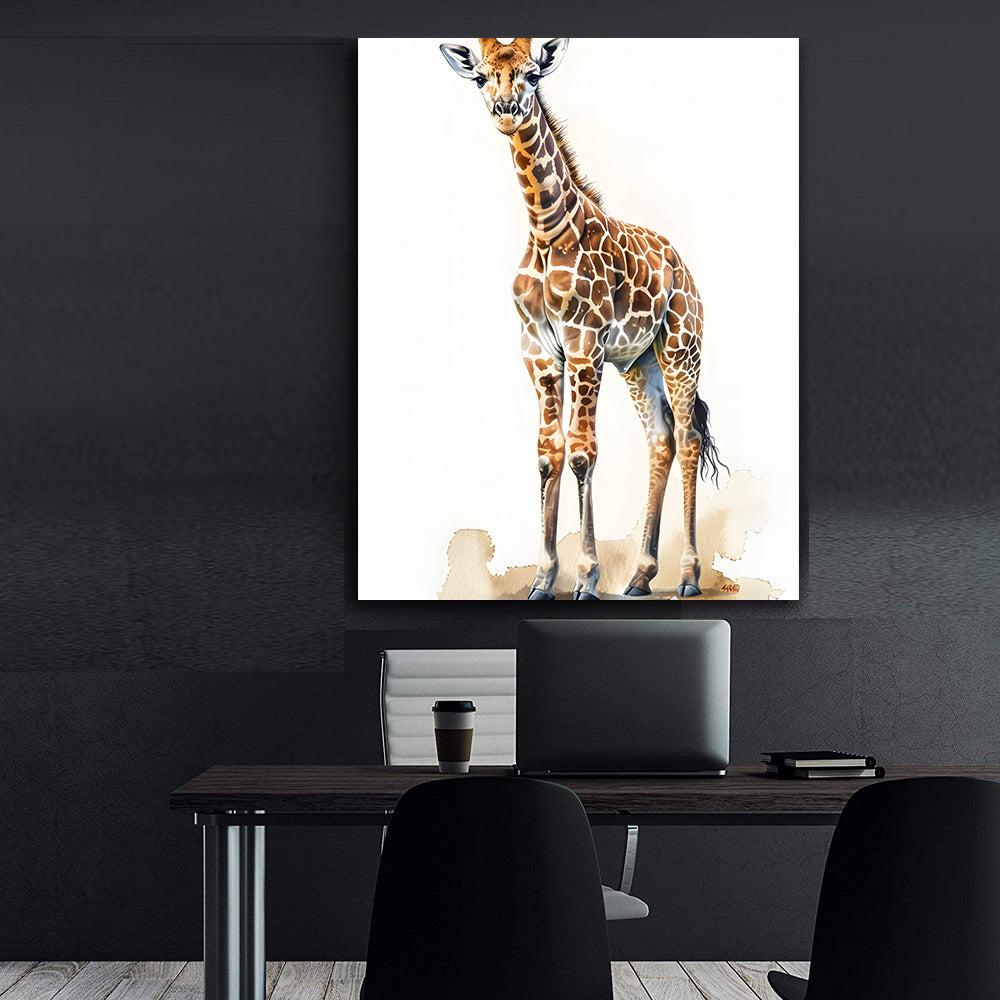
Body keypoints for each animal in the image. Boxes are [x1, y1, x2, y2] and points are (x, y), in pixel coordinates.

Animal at [441, 37, 726, 599]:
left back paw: (686, 577)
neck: (547, 230)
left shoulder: (584, 345)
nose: (506, 111)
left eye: (531, 75)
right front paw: (543, 579)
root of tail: (682, 267)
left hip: (681, 349)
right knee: (660, 441)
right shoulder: (539, 352)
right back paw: (639, 576)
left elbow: (581, 452)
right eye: (482, 77)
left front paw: (587, 577)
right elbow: (547, 452)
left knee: (687, 439)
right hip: (639, 363)